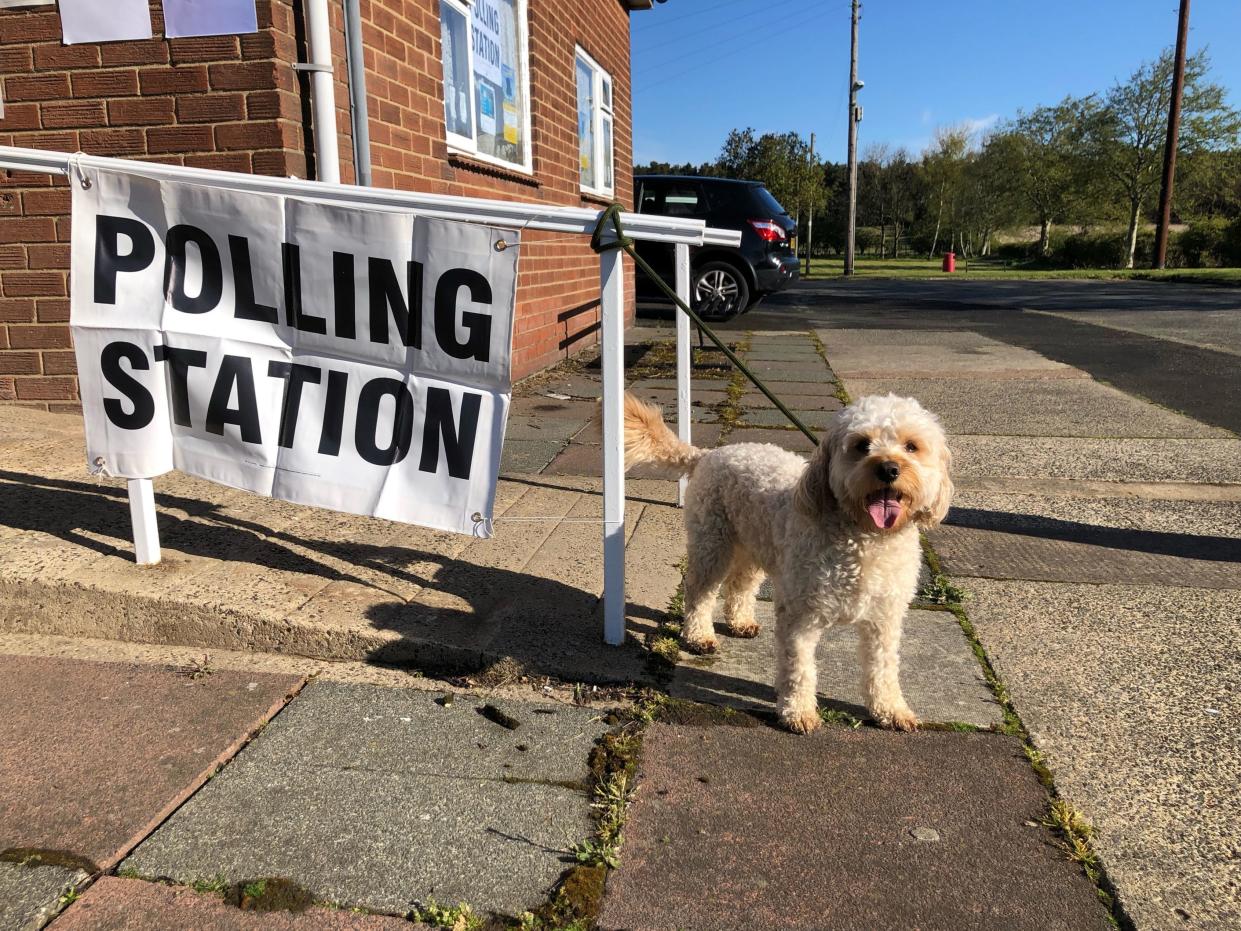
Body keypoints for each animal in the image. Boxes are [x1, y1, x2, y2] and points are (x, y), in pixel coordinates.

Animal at [625, 392, 953, 734]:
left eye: (911, 446)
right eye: (862, 444)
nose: (889, 469)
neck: (865, 537)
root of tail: (709, 453)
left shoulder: (885, 620)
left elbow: (884, 669)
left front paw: (890, 709)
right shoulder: (800, 616)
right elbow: (799, 668)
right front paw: (798, 711)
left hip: (754, 545)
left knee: (739, 584)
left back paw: (740, 621)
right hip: (712, 544)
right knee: (699, 592)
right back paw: (699, 635)